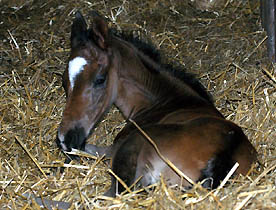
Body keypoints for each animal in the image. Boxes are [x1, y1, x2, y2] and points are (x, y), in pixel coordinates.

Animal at [56, 11, 256, 195]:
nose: (65, 139)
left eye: (100, 79)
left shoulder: (113, 149)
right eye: (64, 82)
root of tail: (224, 153)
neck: (165, 102)